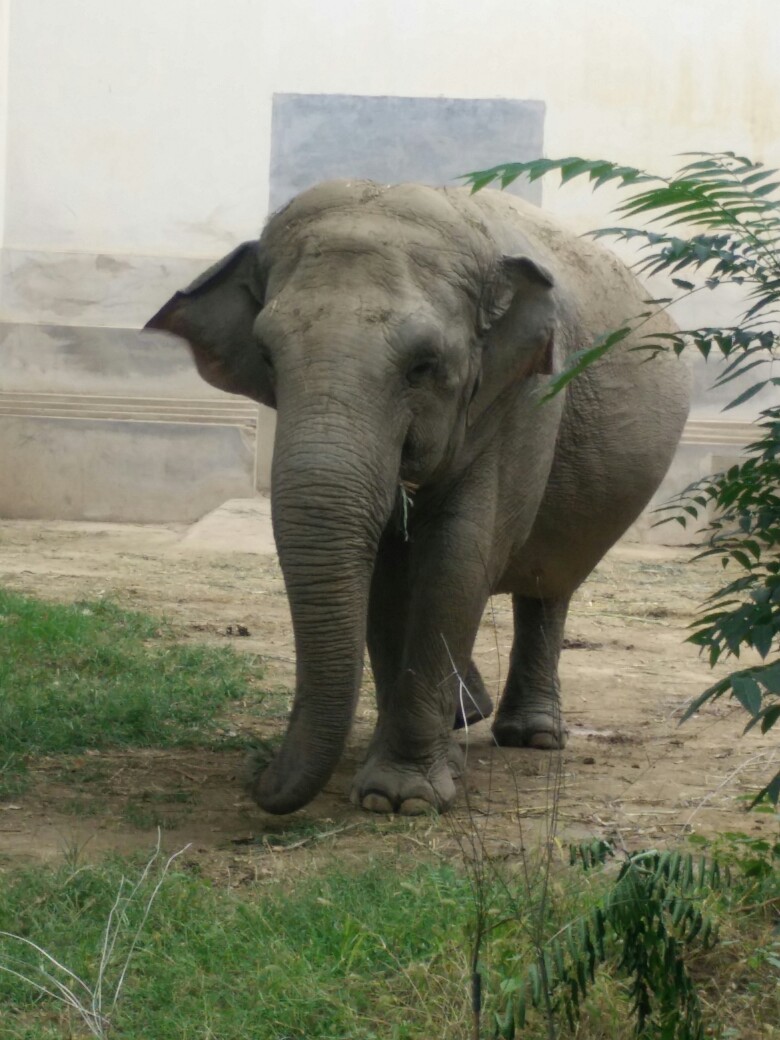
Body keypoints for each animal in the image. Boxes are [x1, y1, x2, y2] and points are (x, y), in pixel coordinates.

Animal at [146, 178, 690, 815]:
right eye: (268, 358)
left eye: (423, 367)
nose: (254, 775)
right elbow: (386, 576)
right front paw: (409, 777)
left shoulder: (524, 398)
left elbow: (457, 560)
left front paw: (401, 799)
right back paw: (466, 717)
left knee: (548, 585)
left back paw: (530, 736)